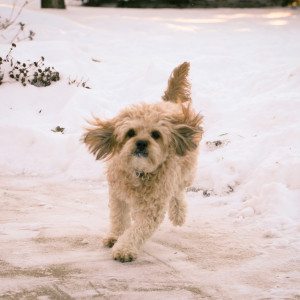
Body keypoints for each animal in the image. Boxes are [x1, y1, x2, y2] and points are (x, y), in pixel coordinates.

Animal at [83, 62, 203, 262]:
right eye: (130, 132)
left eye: (155, 134)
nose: (141, 143)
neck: (138, 172)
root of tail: (169, 104)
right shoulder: (117, 196)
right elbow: (118, 218)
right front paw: (115, 236)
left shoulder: (153, 207)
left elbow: (138, 230)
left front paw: (124, 248)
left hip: (184, 173)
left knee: (178, 193)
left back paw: (178, 214)